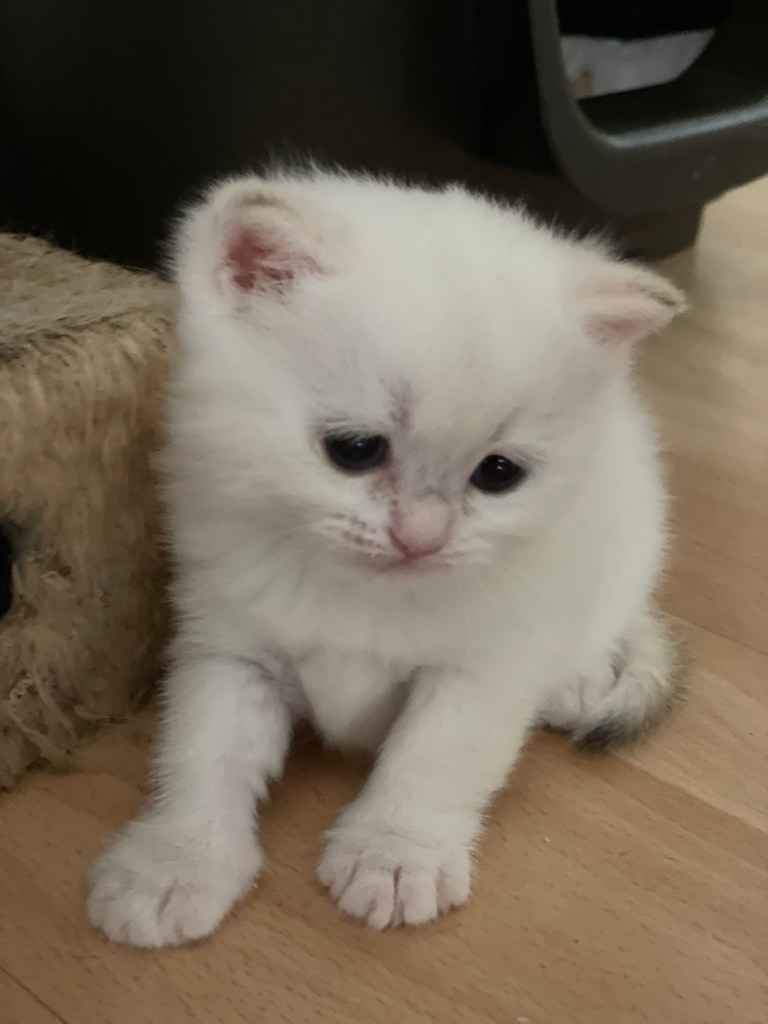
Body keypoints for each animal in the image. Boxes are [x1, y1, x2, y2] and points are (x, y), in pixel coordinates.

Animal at [87, 169, 686, 946]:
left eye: (498, 474)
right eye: (354, 449)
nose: (422, 536)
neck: (357, 586)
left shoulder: (484, 667)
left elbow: (434, 757)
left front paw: (396, 855)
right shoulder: (228, 648)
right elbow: (202, 753)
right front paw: (174, 862)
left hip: (630, 541)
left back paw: (575, 683)